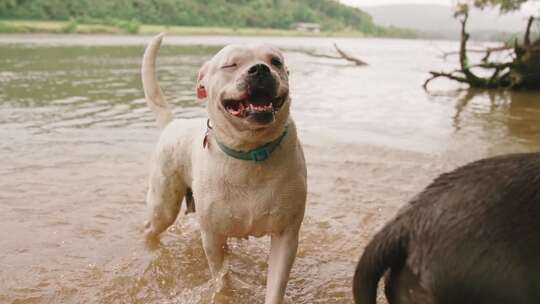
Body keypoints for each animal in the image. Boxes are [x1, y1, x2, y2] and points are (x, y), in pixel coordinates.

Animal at [141, 33, 306, 304]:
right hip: (163, 205)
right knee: (151, 228)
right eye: (231, 64)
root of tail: (173, 123)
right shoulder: (212, 236)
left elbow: (275, 287)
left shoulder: (286, 235)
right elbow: (222, 277)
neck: (249, 152)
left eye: (276, 61)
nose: (260, 69)